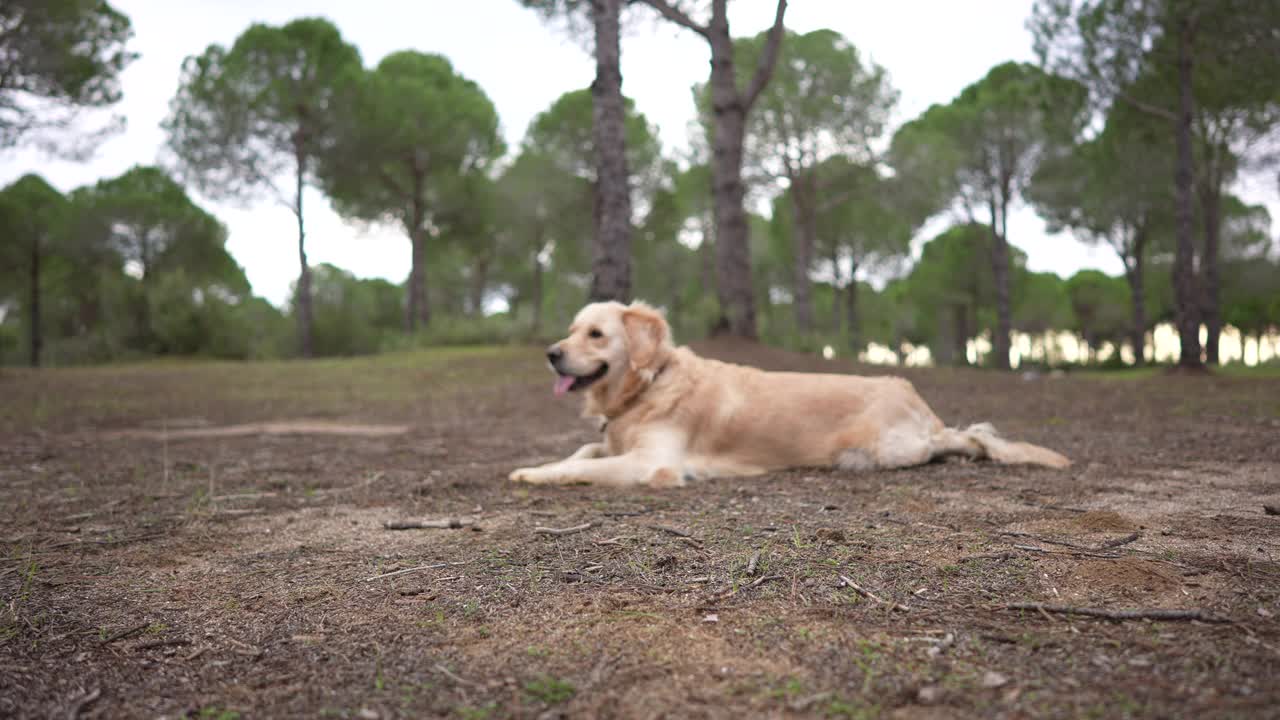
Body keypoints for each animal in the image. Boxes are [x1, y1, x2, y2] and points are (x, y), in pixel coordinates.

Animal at [509, 299, 1070, 484]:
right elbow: (586, 448)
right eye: (571, 329)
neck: (649, 383)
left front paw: (535, 473)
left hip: (888, 447)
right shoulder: (614, 440)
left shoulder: (652, 462)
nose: (551, 353)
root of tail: (913, 394)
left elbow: (578, 466)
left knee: (957, 441)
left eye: (595, 334)